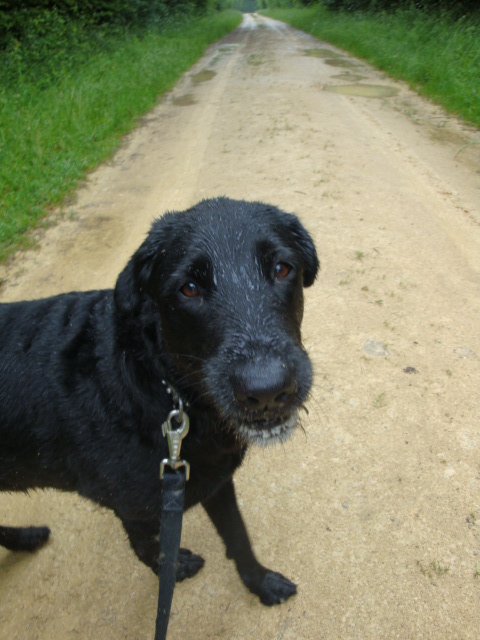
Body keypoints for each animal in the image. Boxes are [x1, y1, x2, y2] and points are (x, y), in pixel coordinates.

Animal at [1, 198, 320, 608]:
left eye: (282, 268)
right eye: (189, 288)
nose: (266, 390)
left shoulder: (213, 481)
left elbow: (238, 538)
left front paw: (260, 583)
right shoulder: (132, 509)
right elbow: (148, 549)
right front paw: (173, 568)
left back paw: (25, 539)